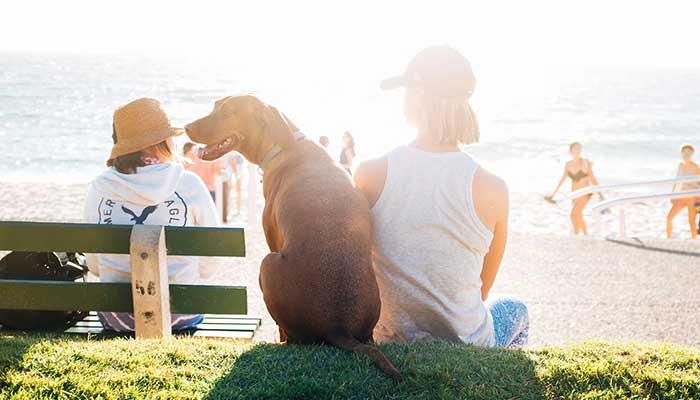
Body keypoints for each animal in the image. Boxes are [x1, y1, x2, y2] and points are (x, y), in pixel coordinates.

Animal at [183, 95, 402, 380]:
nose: (186, 127)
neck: (283, 144)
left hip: (267, 263)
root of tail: (338, 326)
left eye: (229, 112)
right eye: (215, 106)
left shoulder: (272, 239)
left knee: (290, 334)